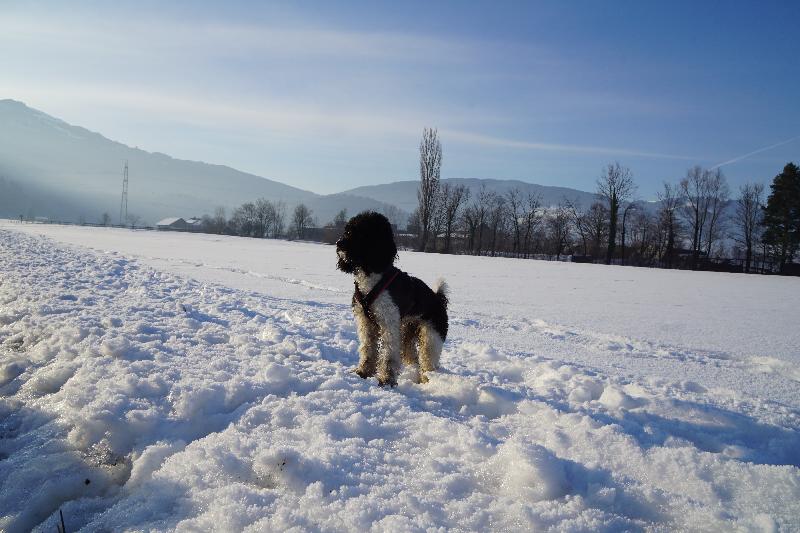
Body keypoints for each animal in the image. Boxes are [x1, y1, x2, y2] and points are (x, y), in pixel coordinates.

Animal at [336, 211, 448, 387]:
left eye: (360, 232)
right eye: (347, 230)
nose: (338, 244)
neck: (373, 276)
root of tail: (438, 298)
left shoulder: (389, 322)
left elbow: (388, 354)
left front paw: (386, 379)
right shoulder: (365, 322)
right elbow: (367, 349)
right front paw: (363, 372)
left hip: (431, 337)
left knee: (427, 362)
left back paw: (426, 381)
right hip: (407, 333)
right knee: (412, 358)